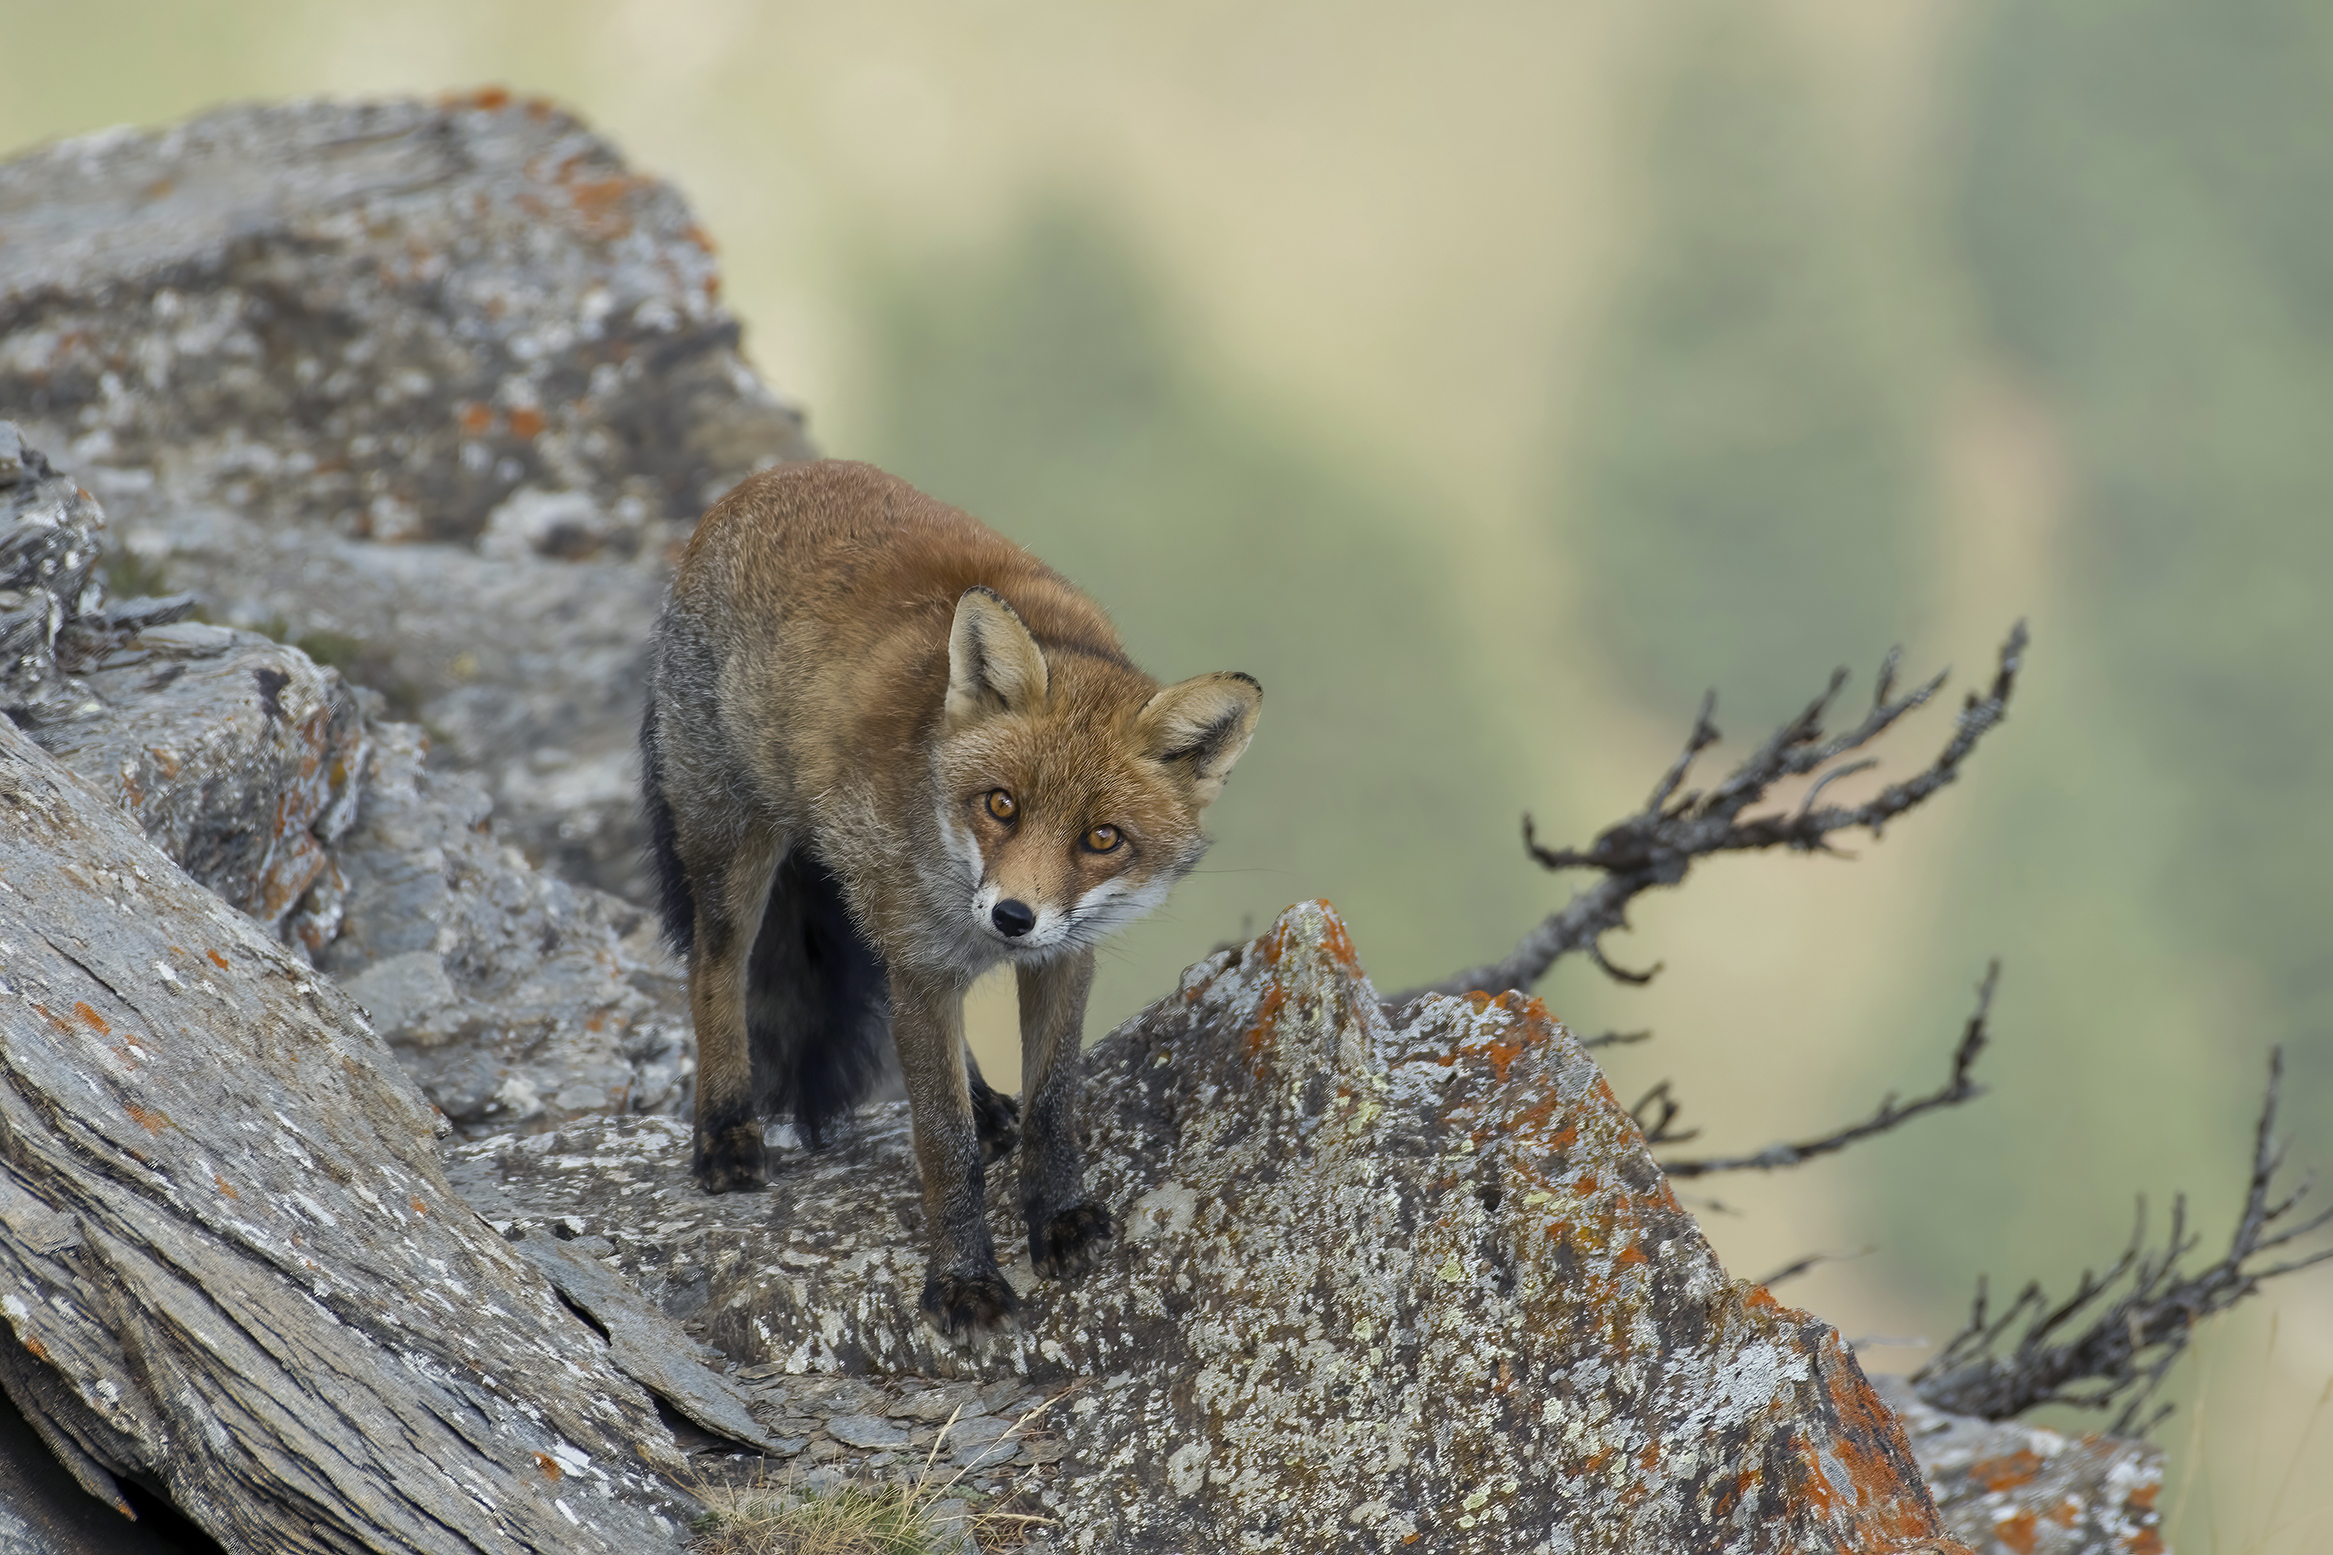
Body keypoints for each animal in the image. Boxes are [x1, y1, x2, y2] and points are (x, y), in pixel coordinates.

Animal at [639, 460, 1261, 1339]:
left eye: (1101, 838)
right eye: (1000, 804)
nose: (1013, 916)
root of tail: (761, 481)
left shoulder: (1059, 957)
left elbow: (1052, 1105)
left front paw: (1056, 1214)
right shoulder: (926, 968)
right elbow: (942, 1144)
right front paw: (963, 1280)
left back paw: (985, 1103)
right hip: (737, 849)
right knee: (713, 972)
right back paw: (724, 1132)